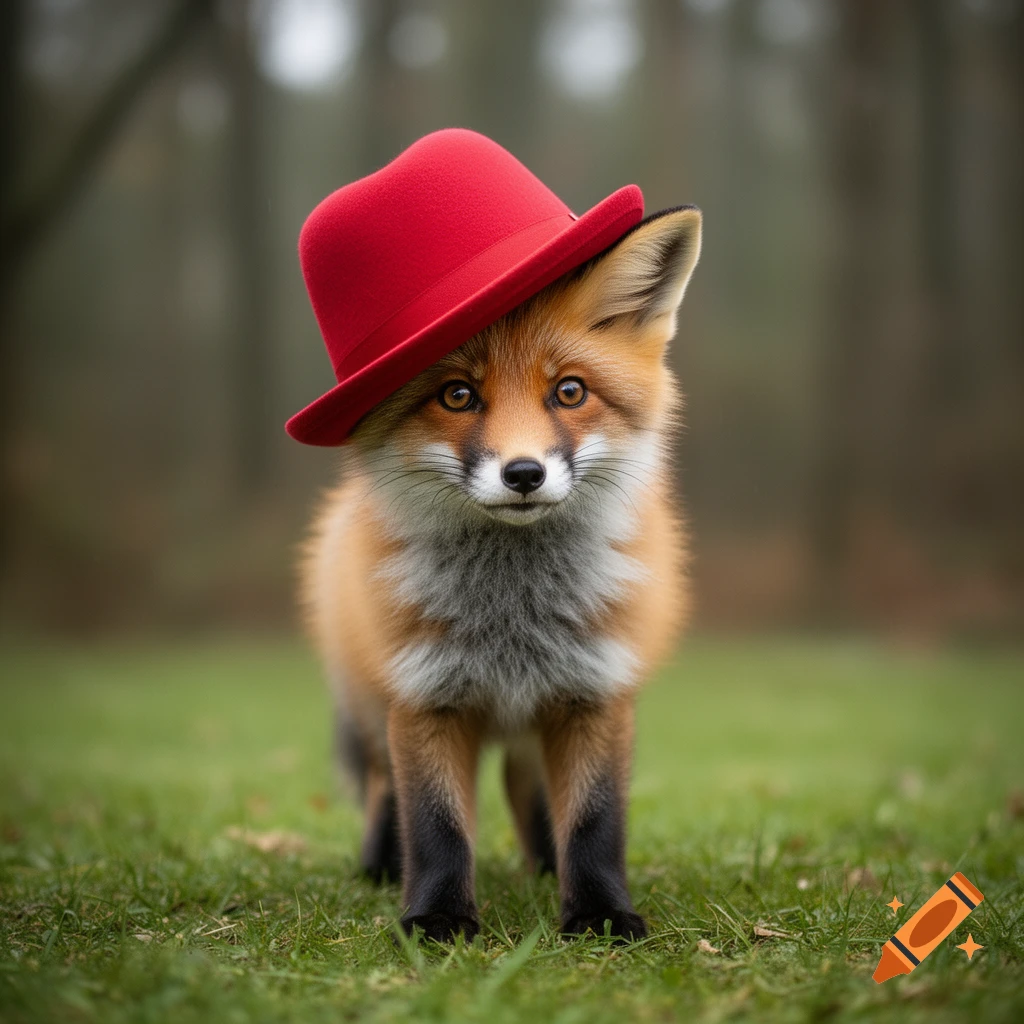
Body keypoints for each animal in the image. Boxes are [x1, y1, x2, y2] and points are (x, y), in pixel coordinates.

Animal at [300, 206, 702, 943]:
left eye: (569, 391)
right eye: (458, 395)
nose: (523, 474)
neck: (513, 621)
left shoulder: (596, 692)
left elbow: (595, 821)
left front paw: (599, 914)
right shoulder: (422, 696)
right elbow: (436, 825)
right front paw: (436, 918)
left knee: (526, 787)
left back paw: (543, 867)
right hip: (370, 705)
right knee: (383, 789)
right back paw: (381, 867)